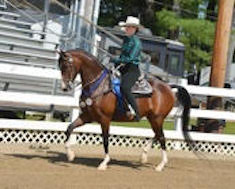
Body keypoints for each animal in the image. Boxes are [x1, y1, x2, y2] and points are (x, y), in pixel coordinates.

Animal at [57, 48, 192, 171]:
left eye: (67, 65)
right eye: (60, 66)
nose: (64, 87)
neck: (99, 86)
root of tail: (168, 86)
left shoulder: (105, 119)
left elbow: (105, 139)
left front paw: (104, 163)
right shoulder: (87, 116)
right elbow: (69, 128)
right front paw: (70, 155)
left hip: (157, 118)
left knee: (162, 137)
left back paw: (161, 165)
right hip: (153, 118)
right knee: (157, 135)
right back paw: (144, 156)